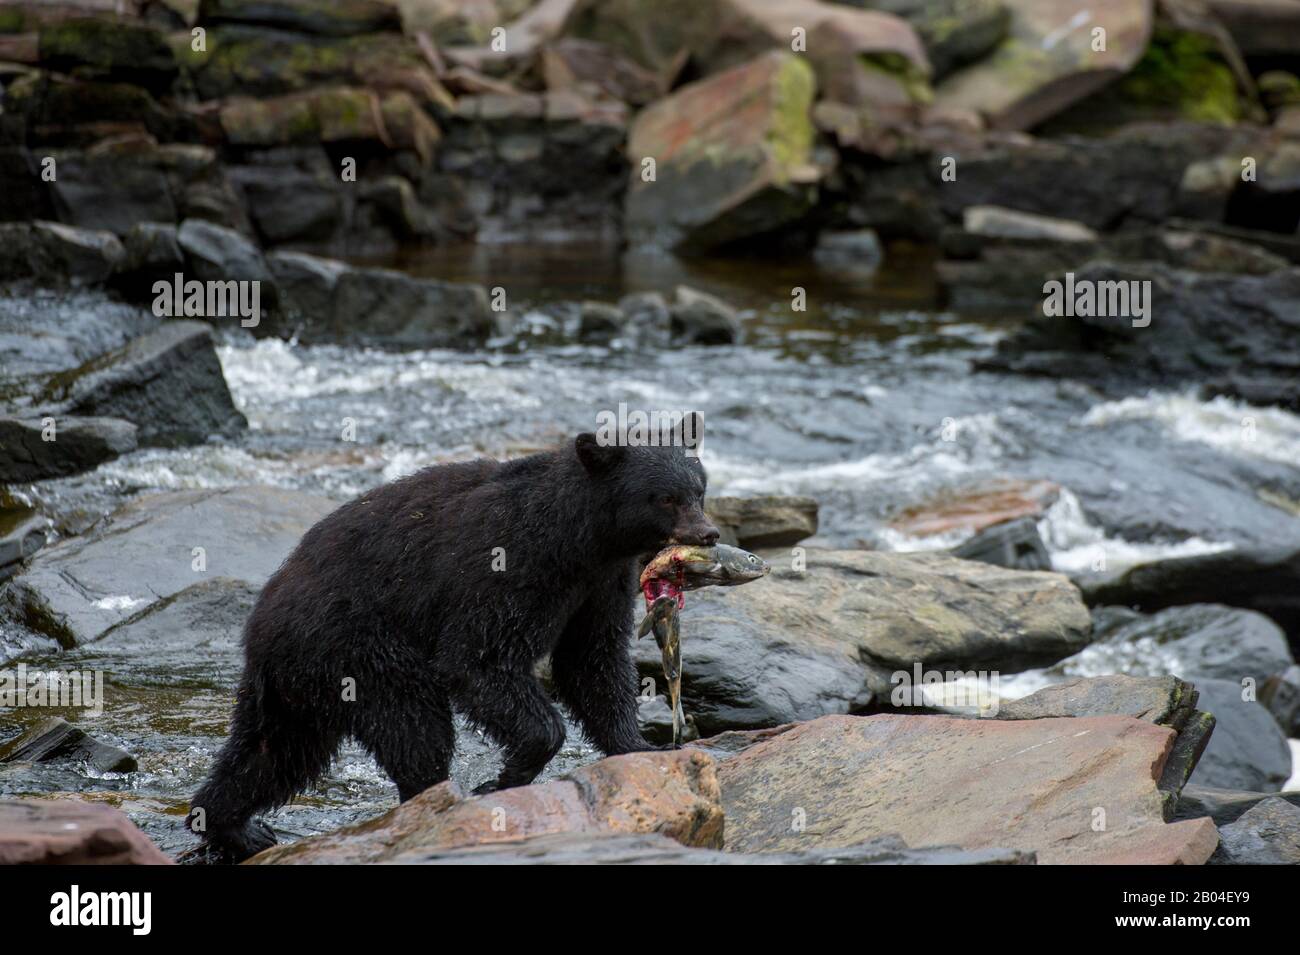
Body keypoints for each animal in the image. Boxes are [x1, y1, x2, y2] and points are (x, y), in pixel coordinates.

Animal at [184, 415, 717, 862]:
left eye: (700, 488)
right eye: (665, 497)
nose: (709, 533)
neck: (581, 538)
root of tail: (260, 624)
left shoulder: (600, 585)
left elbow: (593, 660)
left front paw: (642, 747)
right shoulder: (509, 565)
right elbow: (477, 658)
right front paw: (503, 777)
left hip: (301, 678)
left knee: (273, 751)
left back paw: (231, 825)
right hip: (359, 646)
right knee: (414, 723)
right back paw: (431, 798)